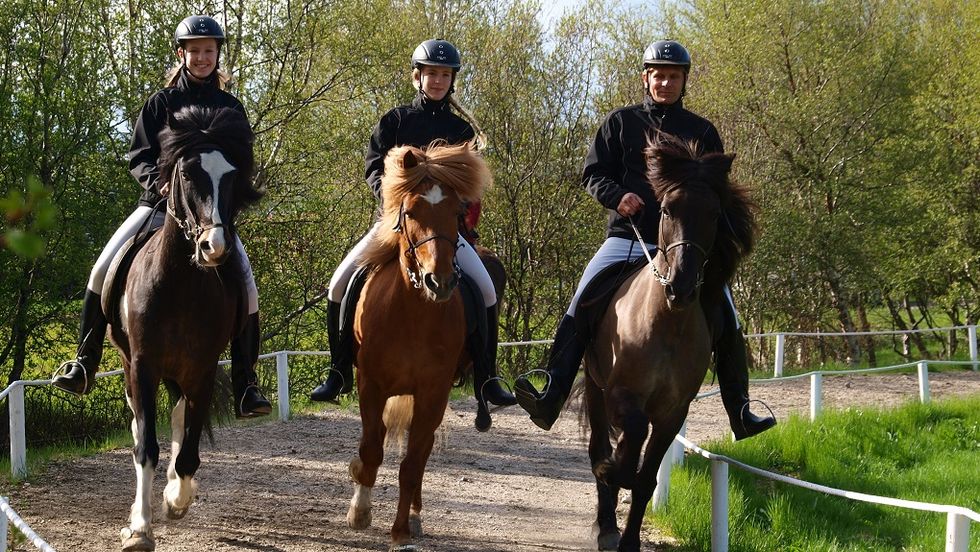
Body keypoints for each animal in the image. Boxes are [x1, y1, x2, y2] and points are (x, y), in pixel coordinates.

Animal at [108, 105, 264, 548]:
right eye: (189, 174)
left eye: (232, 175)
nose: (215, 247)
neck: (181, 283)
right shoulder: (143, 366)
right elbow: (146, 447)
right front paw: (140, 529)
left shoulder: (202, 369)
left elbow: (190, 449)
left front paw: (177, 498)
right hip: (131, 364)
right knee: (140, 424)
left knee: (179, 415)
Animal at [348, 143, 494, 552]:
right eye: (410, 211)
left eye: (457, 212)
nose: (439, 282)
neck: (412, 313)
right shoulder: (371, 384)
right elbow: (371, 448)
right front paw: (360, 511)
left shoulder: (432, 392)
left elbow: (412, 463)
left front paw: (399, 530)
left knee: (422, 450)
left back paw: (413, 516)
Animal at [580, 135, 756, 552]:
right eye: (666, 209)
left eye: (714, 213)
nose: (681, 286)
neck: (668, 324)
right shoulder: (621, 394)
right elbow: (629, 437)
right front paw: (614, 472)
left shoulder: (672, 412)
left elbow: (645, 479)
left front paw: (630, 541)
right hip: (595, 388)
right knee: (599, 445)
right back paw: (605, 524)